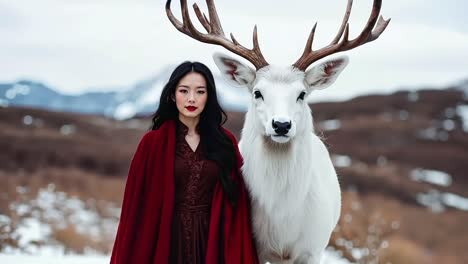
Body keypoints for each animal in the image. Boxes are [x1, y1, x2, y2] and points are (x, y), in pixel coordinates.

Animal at [166, 1, 390, 262]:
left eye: (302, 94)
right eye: (257, 92)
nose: (281, 125)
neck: (283, 222)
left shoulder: (313, 248)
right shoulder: (256, 248)